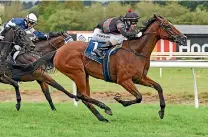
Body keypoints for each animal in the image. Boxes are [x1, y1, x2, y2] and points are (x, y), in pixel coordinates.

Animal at [33, 14, 187, 122]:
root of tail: (57, 51)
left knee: (85, 96)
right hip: (77, 72)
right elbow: (139, 97)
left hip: (84, 74)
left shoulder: (139, 78)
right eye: (167, 26)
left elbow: (158, 87)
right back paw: (106, 108)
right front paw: (120, 100)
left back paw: (102, 117)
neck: (136, 51)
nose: (184, 38)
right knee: (82, 95)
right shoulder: (124, 80)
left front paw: (161, 112)